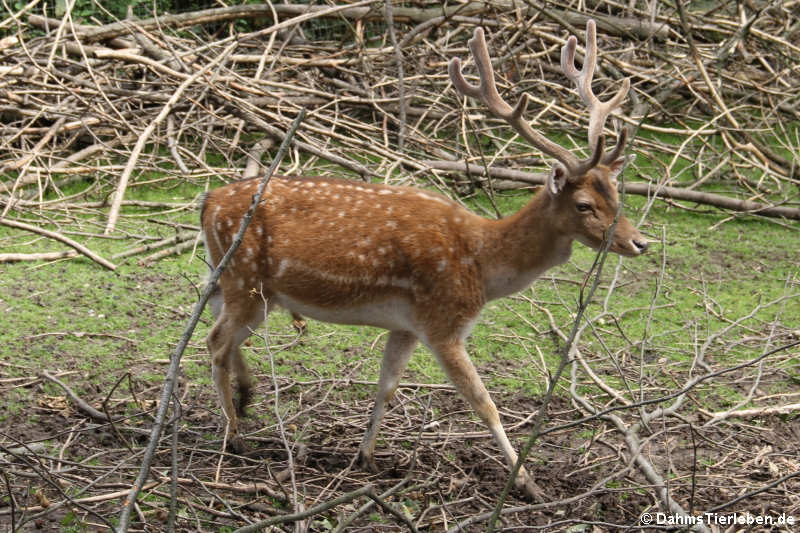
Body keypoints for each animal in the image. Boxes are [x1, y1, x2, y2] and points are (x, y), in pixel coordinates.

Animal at [203, 19, 648, 498]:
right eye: (584, 205)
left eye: (617, 194)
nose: (639, 242)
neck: (482, 266)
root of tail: (207, 202)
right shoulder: (443, 321)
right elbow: (483, 402)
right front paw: (528, 483)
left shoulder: (407, 325)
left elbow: (388, 385)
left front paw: (366, 456)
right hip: (246, 281)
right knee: (215, 342)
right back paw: (234, 436)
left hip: (236, 283)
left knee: (222, 333)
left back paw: (246, 398)